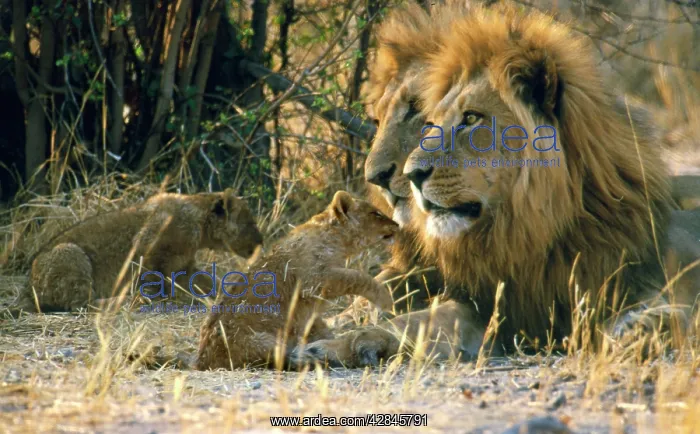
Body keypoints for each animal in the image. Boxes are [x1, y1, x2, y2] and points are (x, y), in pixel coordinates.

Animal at [18, 189, 263, 313]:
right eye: (250, 222)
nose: (261, 241)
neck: (200, 225)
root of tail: (27, 289)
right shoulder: (148, 252)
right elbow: (157, 284)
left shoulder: (184, 266)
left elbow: (209, 281)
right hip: (70, 252)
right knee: (80, 303)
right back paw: (125, 300)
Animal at [195, 191, 397, 370]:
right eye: (376, 213)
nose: (397, 224)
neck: (336, 240)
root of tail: (202, 362)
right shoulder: (315, 281)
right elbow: (357, 276)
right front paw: (385, 300)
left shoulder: (308, 306)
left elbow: (317, 327)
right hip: (263, 340)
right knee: (278, 360)